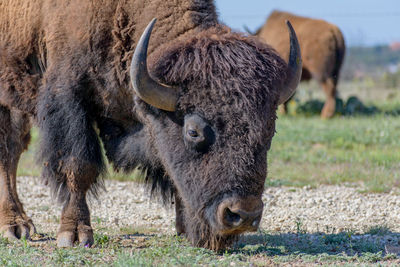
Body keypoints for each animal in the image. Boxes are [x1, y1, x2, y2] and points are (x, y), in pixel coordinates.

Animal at [0, 0, 300, 251]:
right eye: (193, 131)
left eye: (269, 130)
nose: (242, 214)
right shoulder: (69, 97)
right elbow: (78, 166)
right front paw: (74, 234)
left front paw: (182, 229)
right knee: (7, 153)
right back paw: (15, 226)